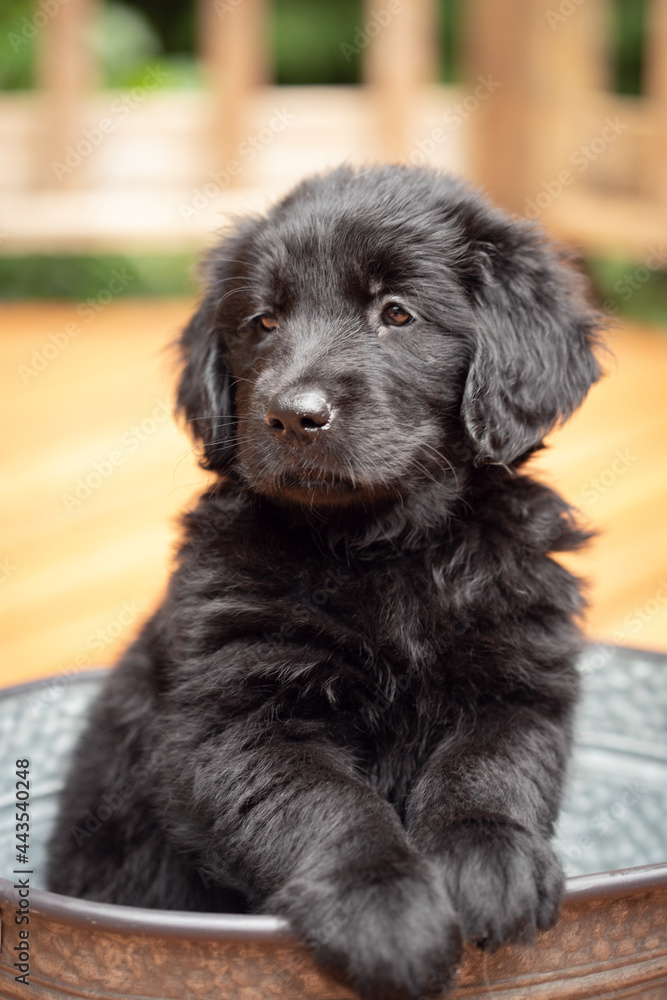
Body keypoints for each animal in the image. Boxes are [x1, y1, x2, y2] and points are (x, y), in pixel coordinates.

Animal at [48, 168, 604, 996]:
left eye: (396, 313)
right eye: (263, 321)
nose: (291, 415)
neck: (385, 548)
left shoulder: (520, 679)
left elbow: (489, 768)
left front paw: (488, 861)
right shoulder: (237, 719)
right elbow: (326, 805)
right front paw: (385, 910)